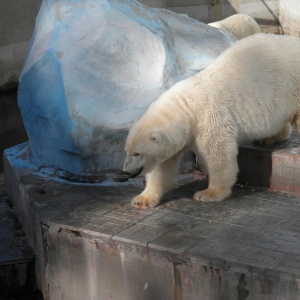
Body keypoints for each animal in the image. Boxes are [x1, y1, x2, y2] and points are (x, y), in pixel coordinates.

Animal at [123, 32, 300, 206]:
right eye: (127, 151)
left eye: (137, 153)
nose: (126, 171)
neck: (186, 107)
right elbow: (163, 167)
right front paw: (142, 199)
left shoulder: (209, 117)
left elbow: (218, 154)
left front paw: (208, 193)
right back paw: (267, 138)